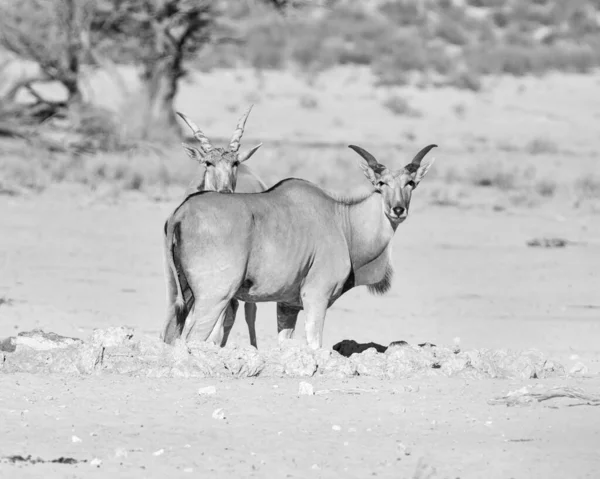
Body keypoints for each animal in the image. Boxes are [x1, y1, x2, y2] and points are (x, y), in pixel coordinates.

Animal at [164, 142, 436, 348]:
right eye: (381, 184)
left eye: (410, 183)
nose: (398, 210)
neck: (342, 221)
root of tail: (182, 212)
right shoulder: (316, 297)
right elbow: (315, 344)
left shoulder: (287, 306)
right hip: (215, 298)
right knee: (192, 338)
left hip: (187, 296)